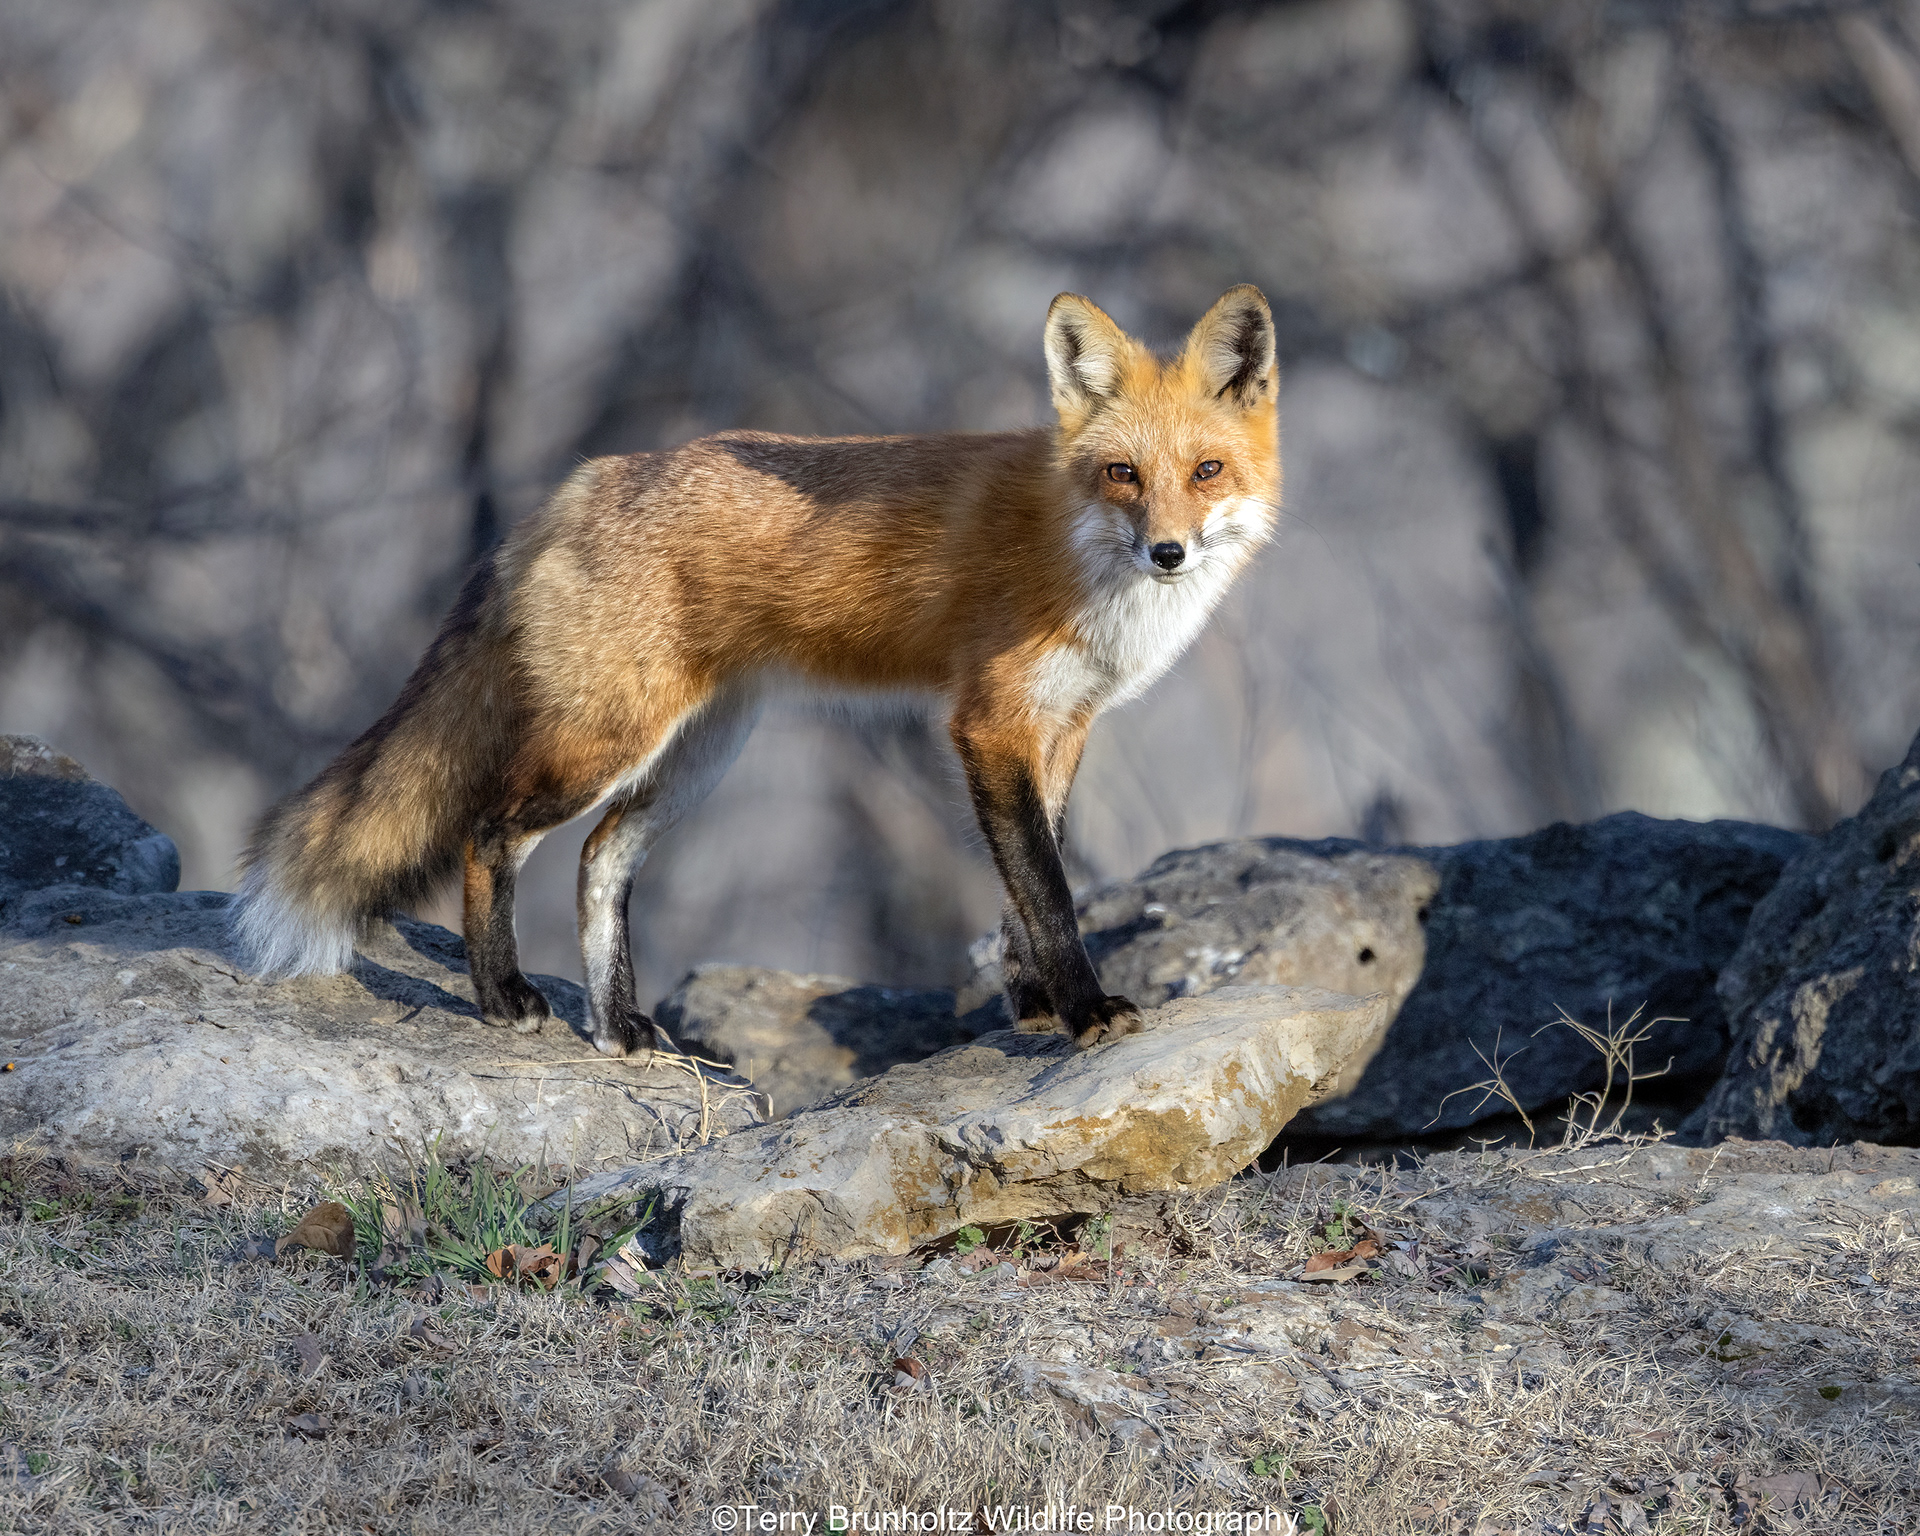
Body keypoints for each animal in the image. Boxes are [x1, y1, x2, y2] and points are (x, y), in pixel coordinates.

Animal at [235, 285, 1280, 1055]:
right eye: (1122, 474)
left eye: (1208, 471)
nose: (1169, 553)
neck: (1075, 556)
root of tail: (580, 482)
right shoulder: (989, 725)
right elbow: (1049, 892)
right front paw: (1083, 1010)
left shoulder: (1061, 728)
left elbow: (1026, 888)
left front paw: (1031, 1007)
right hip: (604, 741)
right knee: (489, 833)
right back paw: (502, 994)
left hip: (697, 756)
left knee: (599, 861)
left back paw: (617, 1025)